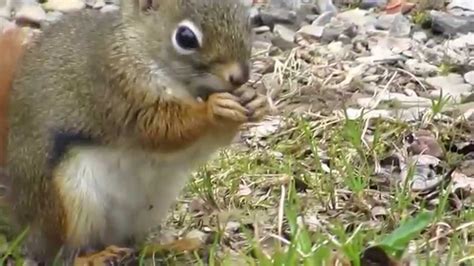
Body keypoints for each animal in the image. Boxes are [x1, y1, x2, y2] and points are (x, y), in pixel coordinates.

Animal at [0, 0, 268, 264]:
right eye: (185, 37)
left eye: (248, 20)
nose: (240, 77)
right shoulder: (119, 90)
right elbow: (162, 128)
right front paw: (213, 109)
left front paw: (253, 100)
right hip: (67, 203)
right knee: (59, 255)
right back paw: (96, 258)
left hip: (149, 208)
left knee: (134, 245)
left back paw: (173, 246)